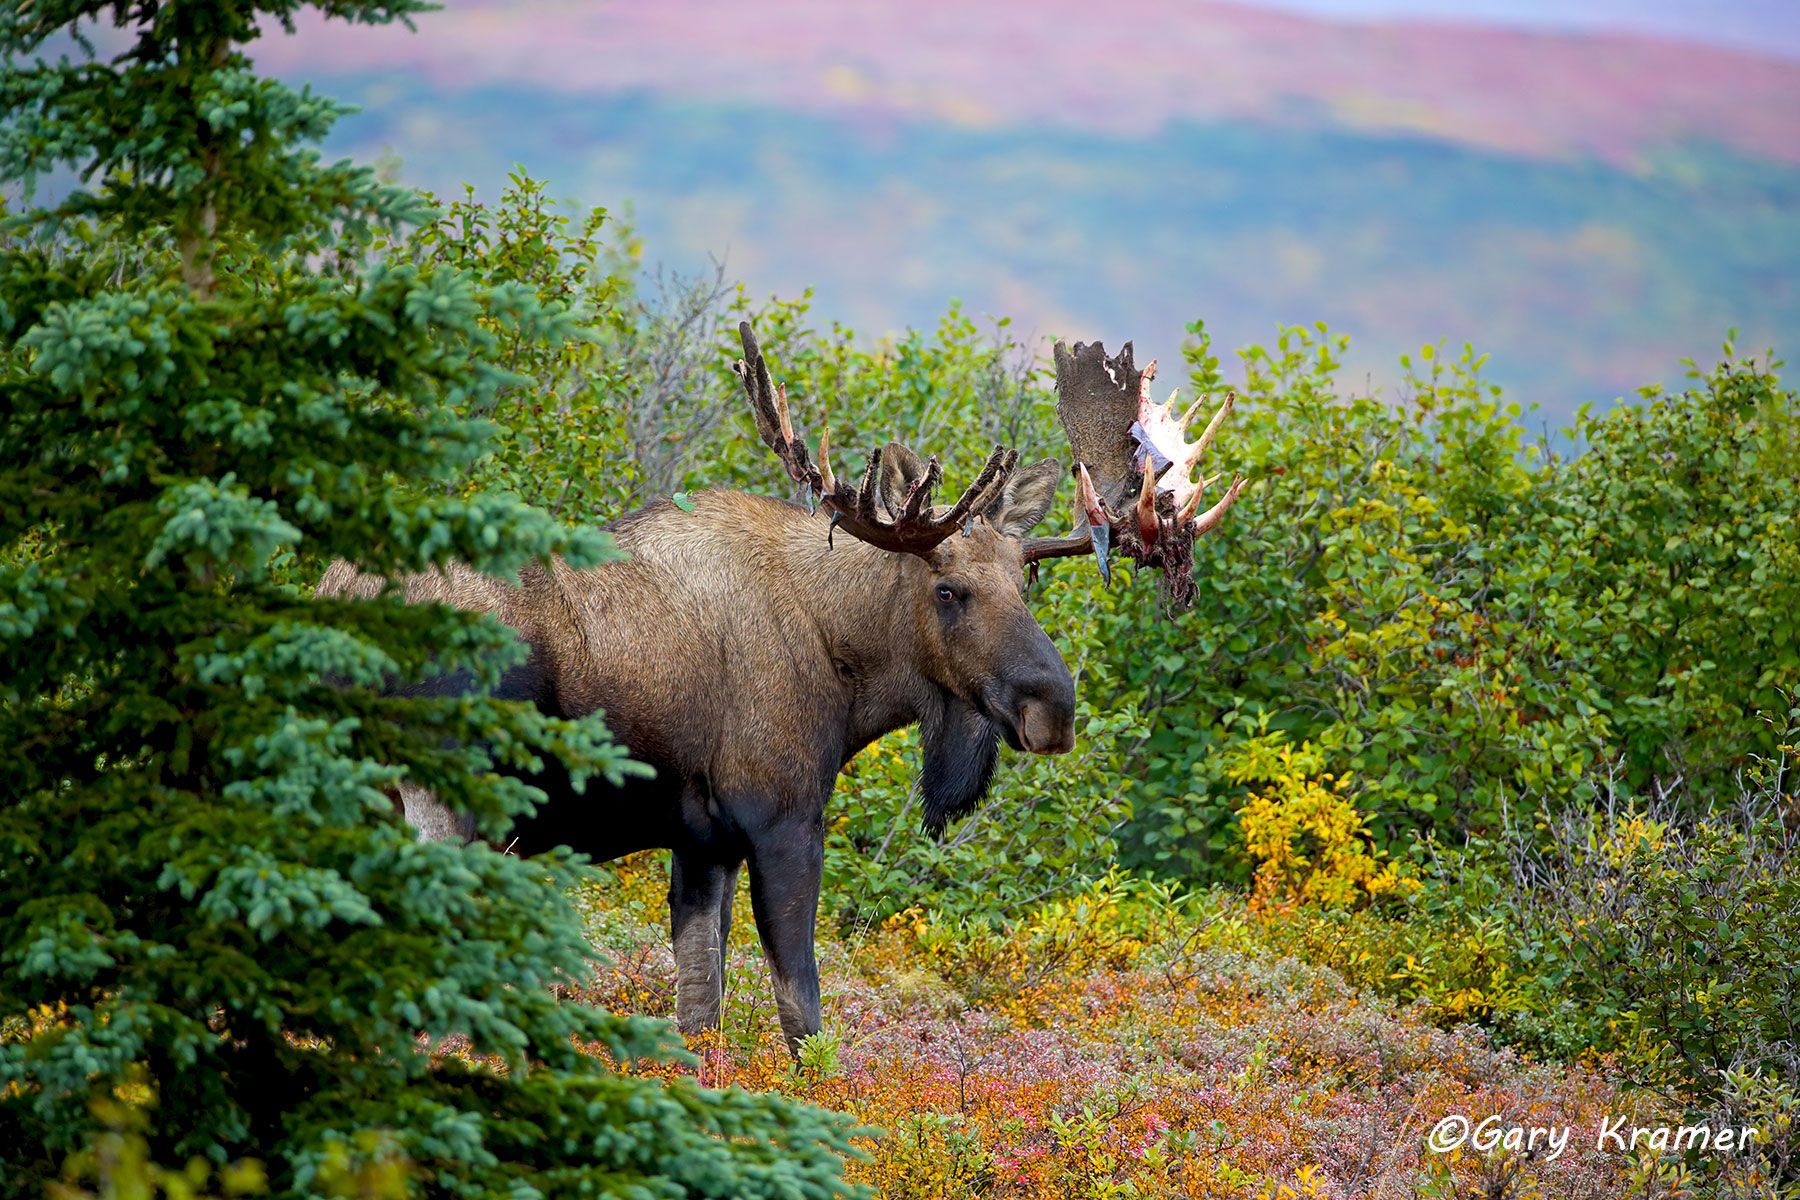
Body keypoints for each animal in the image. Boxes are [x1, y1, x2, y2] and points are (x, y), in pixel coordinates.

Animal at [315, 322, 1247, 1054]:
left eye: (1029, 581)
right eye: (949, 590)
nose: (1054, 709)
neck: (847, 667)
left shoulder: (702, 841)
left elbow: (700, 1014)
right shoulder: (784, 817)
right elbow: (803, 1013)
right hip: (445, 802)